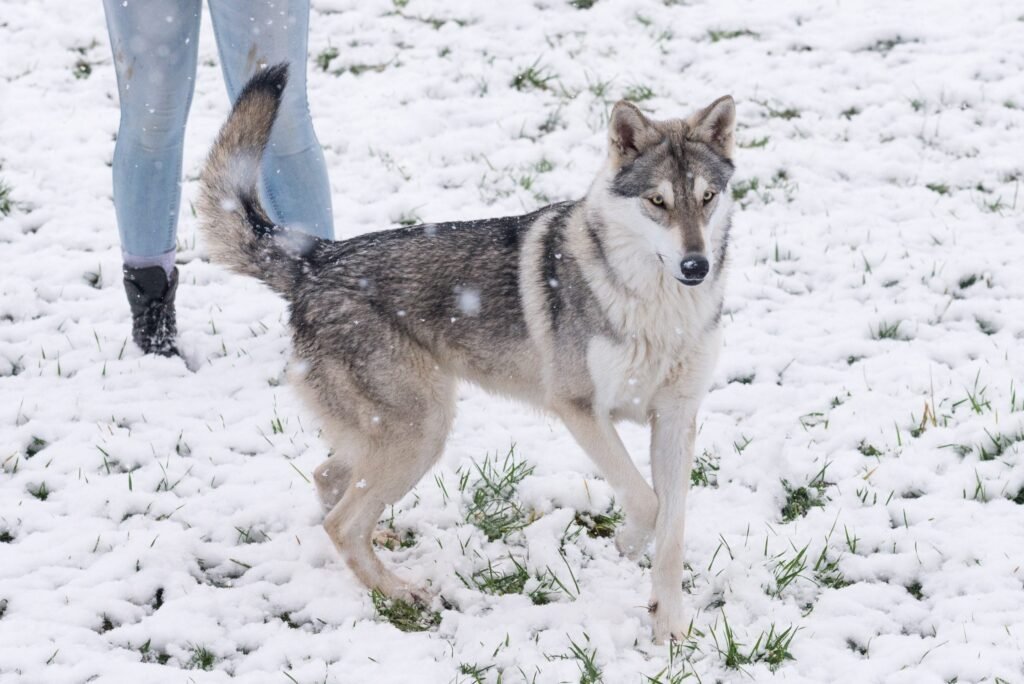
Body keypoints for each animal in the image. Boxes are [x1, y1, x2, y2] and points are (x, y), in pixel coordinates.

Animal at [198, 63, 736, 643]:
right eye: (657, 202)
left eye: (707, 197)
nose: (696, 266)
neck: (658, 309)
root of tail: (314, 258)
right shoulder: (580, 409)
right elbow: (646, 502)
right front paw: (629, 545)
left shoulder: (677, 418)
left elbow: (672, 526)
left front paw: (670, 625)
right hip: (424, 431)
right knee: (339, 522)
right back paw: (400, 591)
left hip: (400, 433)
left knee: (329, 483)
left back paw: (381, 542)